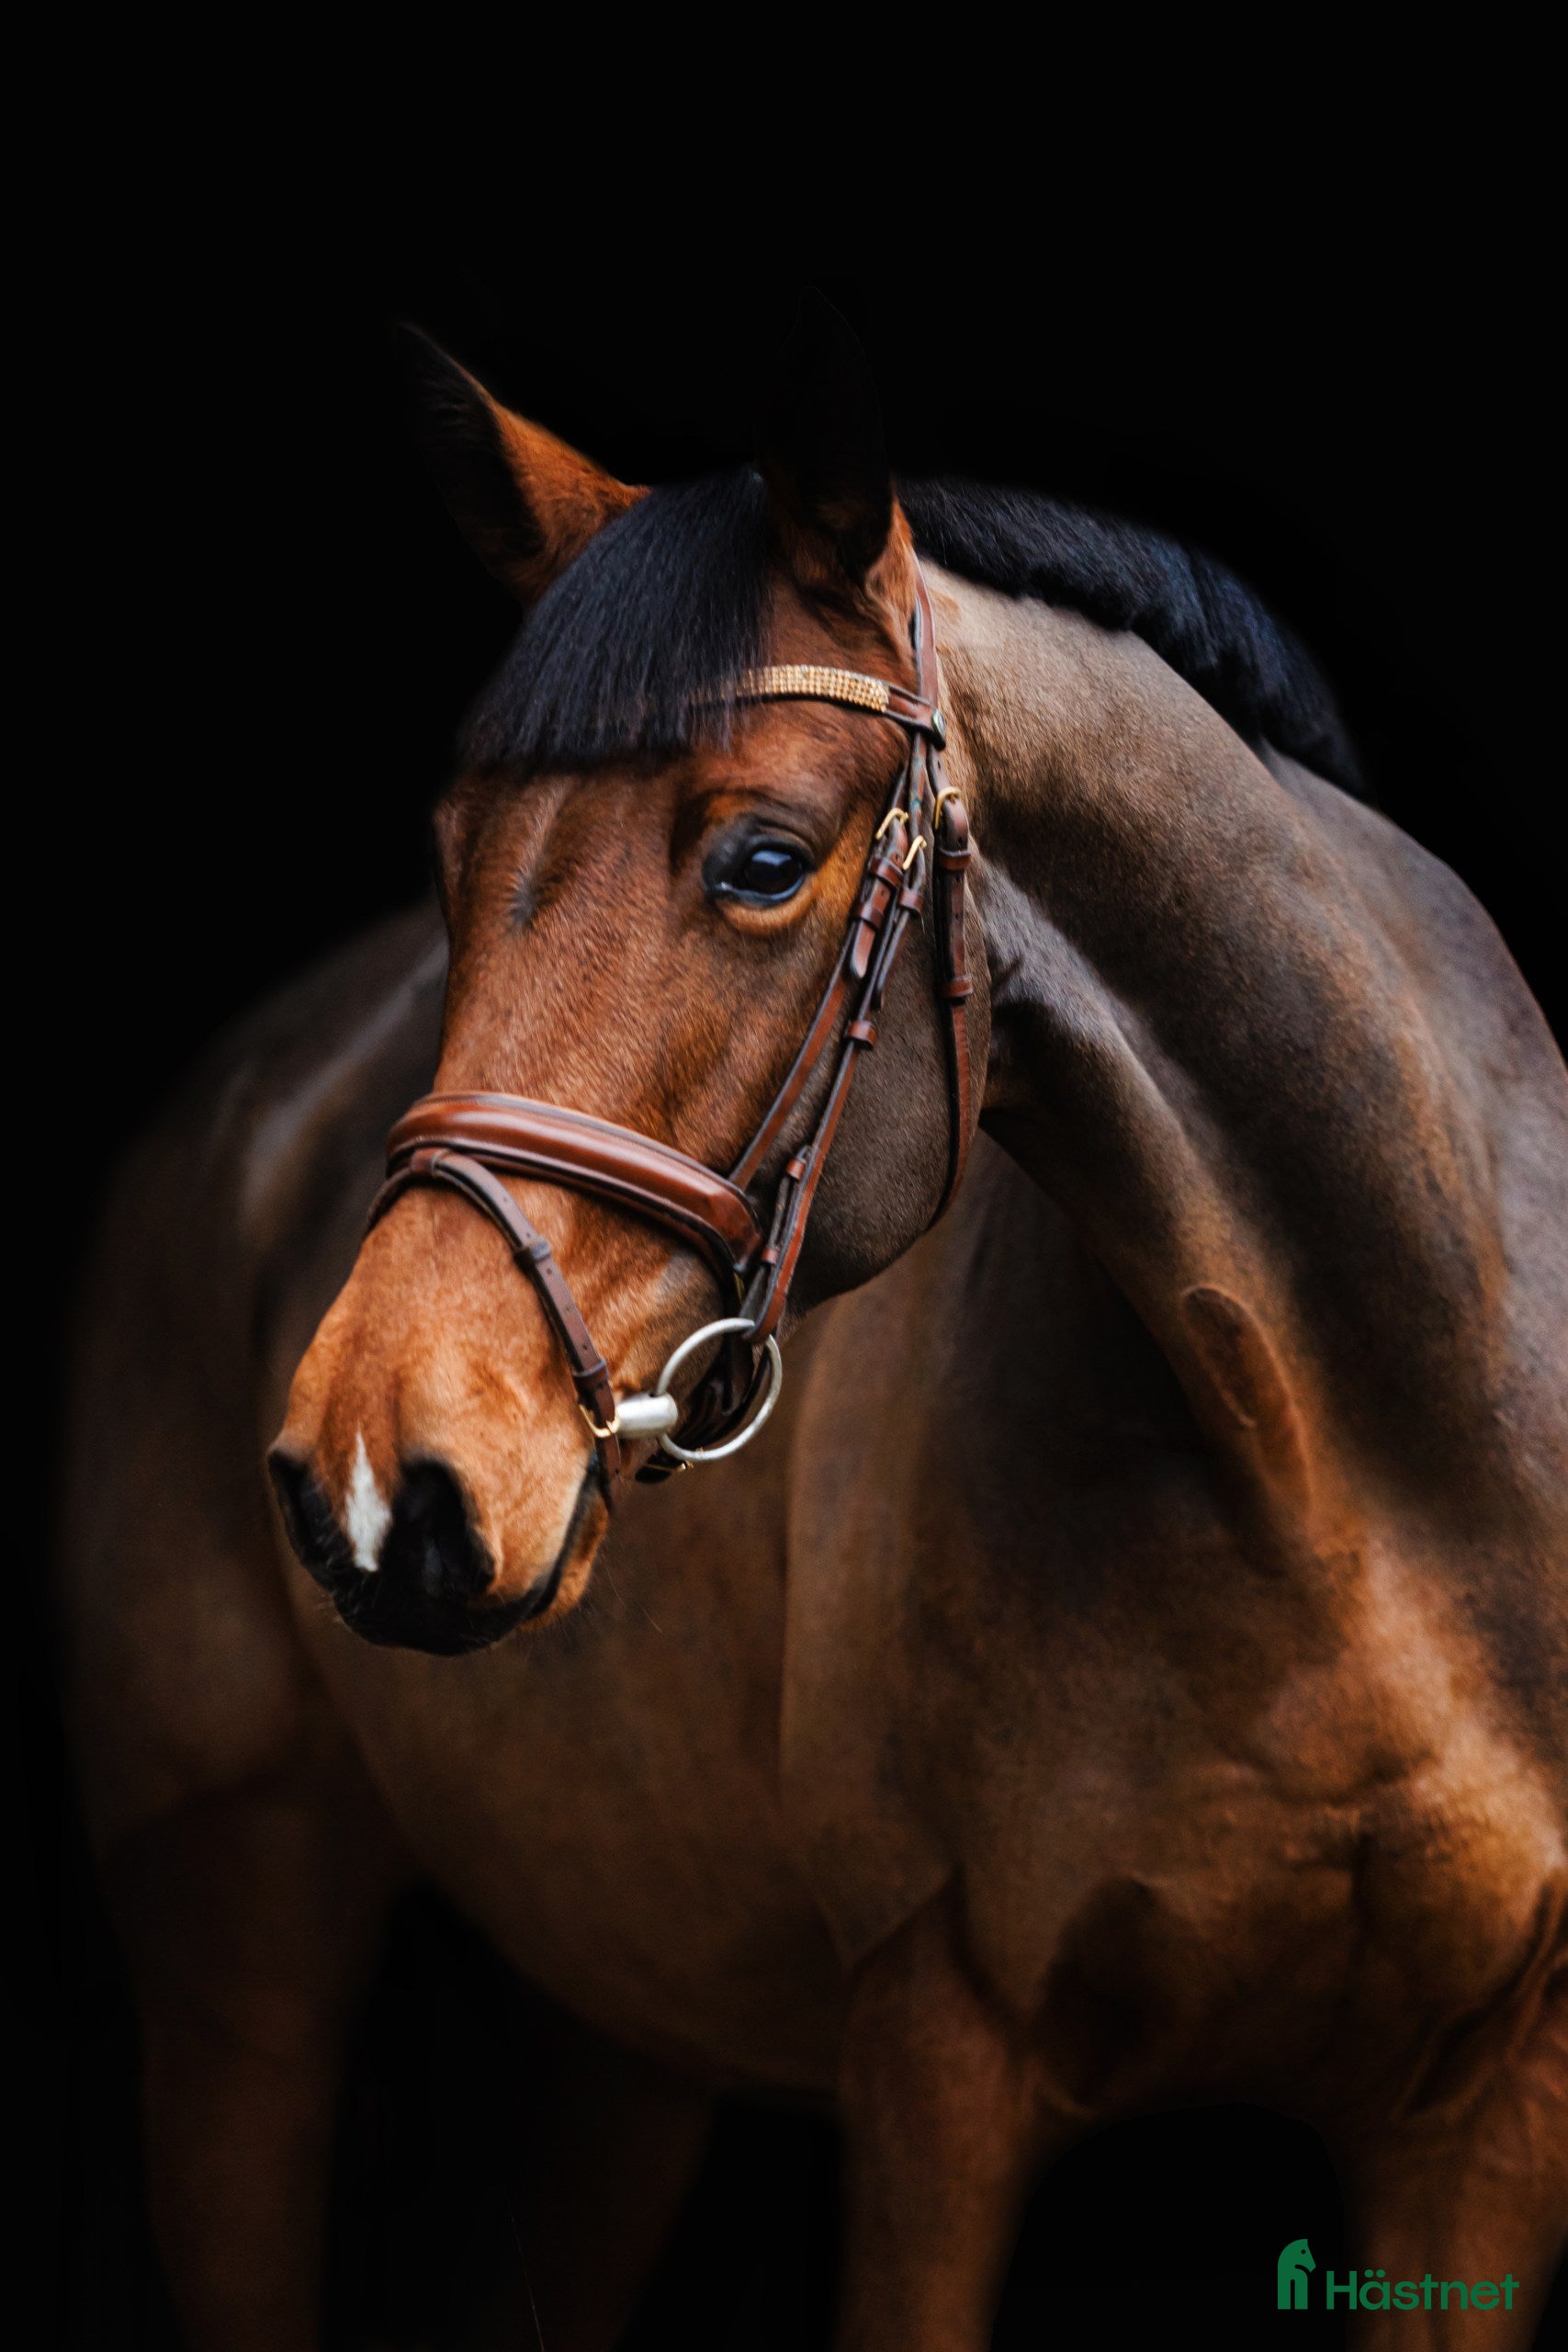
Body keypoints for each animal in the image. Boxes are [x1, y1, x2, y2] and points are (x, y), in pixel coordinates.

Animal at [59, 295, 1568, 2349]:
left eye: (762, 861)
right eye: (452, 853)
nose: (374, 1470)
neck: (1338, 1471)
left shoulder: (1481, 2114)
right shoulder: (939, 2066)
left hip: (618, 2026)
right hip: (242, 1945)